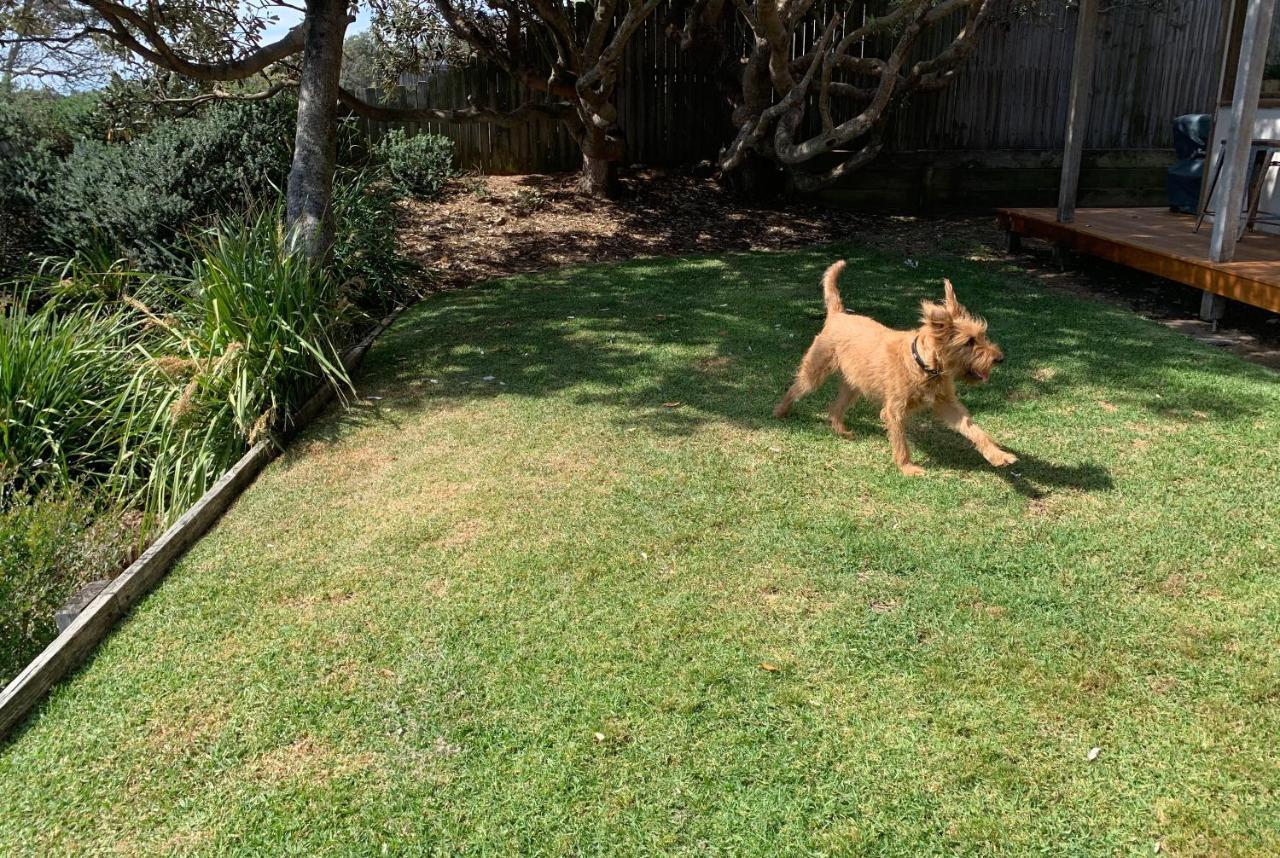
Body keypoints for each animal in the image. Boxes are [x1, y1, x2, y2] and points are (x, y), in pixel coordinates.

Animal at [773, 262, 1013, 476]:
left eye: (982, 335)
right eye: (969, 342)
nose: (999, 358)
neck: (924, 365)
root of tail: (838, 314)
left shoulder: (947, 404)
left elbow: (973, 428)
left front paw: (998, 455)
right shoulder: (894, 410)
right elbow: (900, 442)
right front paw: (907, 467)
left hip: (853, 385)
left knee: (834, 408)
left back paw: (841, 430)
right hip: (815, 371)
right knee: (795, 388)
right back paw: (780, 412)